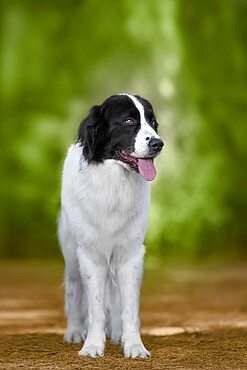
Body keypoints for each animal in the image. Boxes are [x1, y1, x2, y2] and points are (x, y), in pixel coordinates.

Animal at [58, 93, 164, 358]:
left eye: (152, 122)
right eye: (128, 121)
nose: (158, 144)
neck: (115, 183)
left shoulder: (131, 255)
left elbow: (129, 307)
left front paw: (134, 345)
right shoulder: (90, 255)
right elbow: (95, 307)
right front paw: (93, 346)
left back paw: (117, 334)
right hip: (72, 256)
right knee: (73, 290)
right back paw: (74, 332)